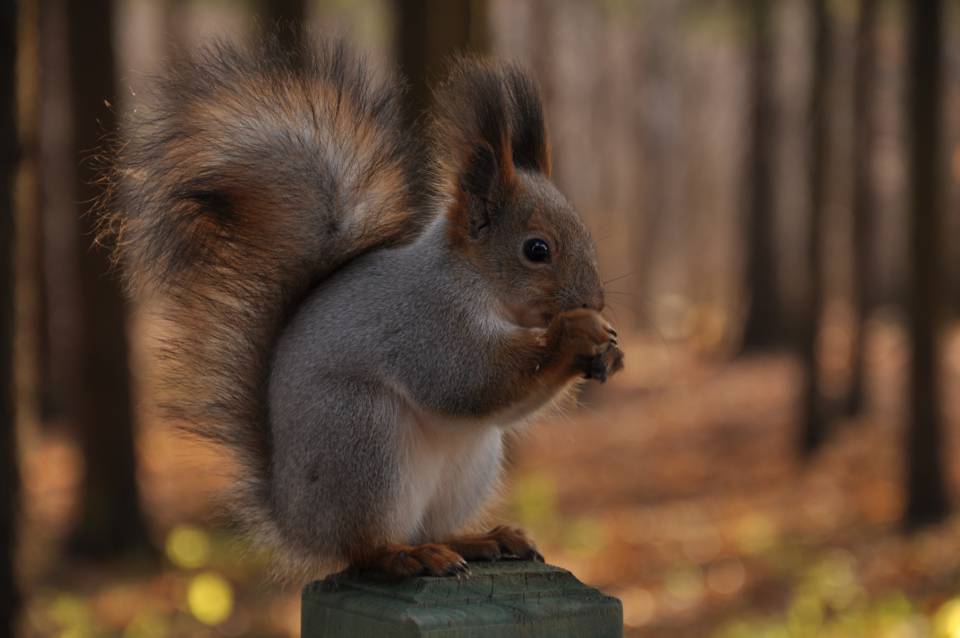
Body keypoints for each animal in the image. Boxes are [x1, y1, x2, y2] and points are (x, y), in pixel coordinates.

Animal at [97, 37, 624, 584]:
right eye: (536, 249)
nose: (594, 301)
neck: (481, 284)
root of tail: (295, 522)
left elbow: (504, 399)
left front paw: (606, 349)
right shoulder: (426, 321)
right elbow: (469, 379)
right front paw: (576, 333)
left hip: (469, 464)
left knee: (430, 527)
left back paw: (478, 539)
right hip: (362, 439)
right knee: (364, 548)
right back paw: (408, 556)